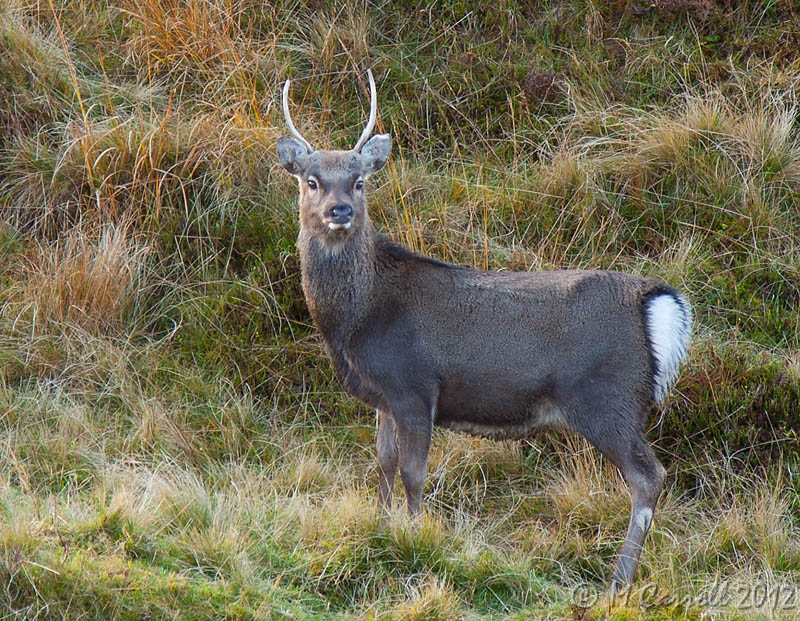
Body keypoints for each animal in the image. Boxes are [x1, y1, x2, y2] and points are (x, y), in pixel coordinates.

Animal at [276, 70, 688, 588]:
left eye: (360, 181)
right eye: (311, 180)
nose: (340, 211)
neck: (359, 320)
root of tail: (655, 300)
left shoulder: (415, 385)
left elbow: (413, 473)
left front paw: (416, 538)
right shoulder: (384, 396)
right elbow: (383, 465)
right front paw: (381, 526)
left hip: (607, 398)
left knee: (648, 476)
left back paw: (620, 577)